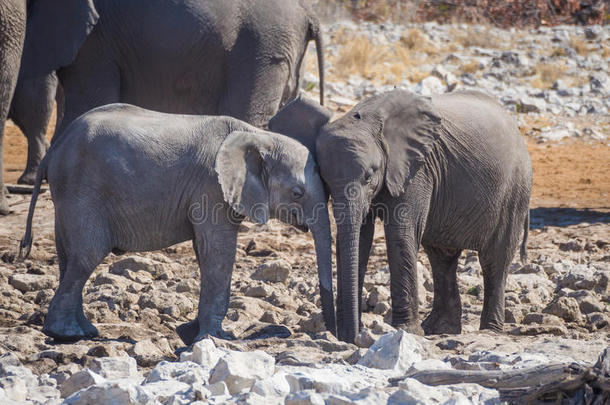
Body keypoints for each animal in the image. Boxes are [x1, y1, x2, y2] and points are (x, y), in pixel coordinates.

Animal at [20, 103, 332, 340]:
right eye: (297, 193)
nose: (328, 329)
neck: (259, 136)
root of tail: (56, 147)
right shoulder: (211, 187)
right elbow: (218, 251)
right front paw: (219, 338)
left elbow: (204, 250)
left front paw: (191, 332)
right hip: (83, 191)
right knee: (88, 255)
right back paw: (67, 334)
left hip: (68, 195)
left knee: (69, 258)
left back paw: (85, 330)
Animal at [270, 90, 532, 340]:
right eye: (324, 179)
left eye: (370, 175)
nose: (347, 335)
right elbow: (361, 237)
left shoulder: (417, 169)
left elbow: (399, 233)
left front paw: (405, 331)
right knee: (441, 258)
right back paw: (439, 329)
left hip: (515, 190)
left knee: (493, 259)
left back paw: (489, 331)